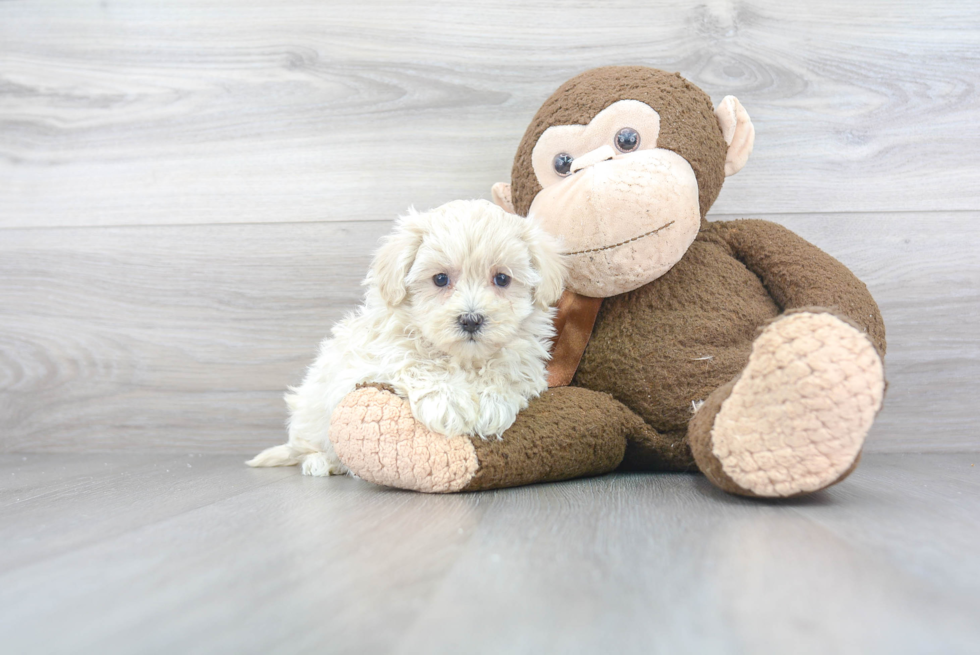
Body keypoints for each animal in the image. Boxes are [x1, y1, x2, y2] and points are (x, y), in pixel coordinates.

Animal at [247, 199, 568, 476]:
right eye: (440, 279)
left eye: (502, 279)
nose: (471, 320)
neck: (462, 359)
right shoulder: (379, 353)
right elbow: (414, 362)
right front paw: (449, 402)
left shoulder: (524, 356)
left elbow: (508, 369)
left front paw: (493, 401)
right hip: (311, 411)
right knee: (305, 446)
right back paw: (321, 462)